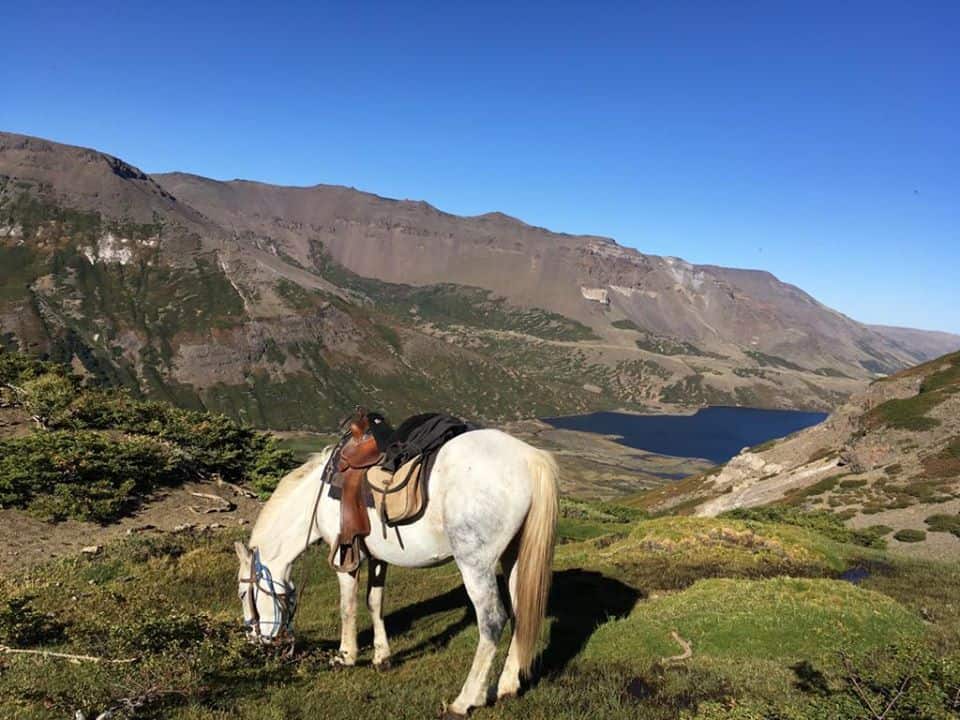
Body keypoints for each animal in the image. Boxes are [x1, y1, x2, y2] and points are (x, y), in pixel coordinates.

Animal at [234, 427, 559, 717]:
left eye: (242, 594)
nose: (254, 642)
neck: (320, 496)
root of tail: (529, 458)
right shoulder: (379, 558)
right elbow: (374, 602)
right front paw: (382, 656)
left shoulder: (345, 558)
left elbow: (347, 607)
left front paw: (345, 656)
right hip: (514, 557)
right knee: (520, 614)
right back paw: (505, 688)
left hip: (476, 564)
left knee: (492, 622)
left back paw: (465, 701)